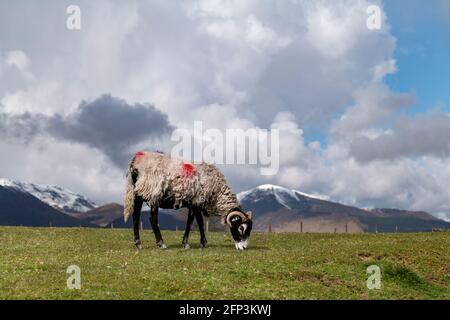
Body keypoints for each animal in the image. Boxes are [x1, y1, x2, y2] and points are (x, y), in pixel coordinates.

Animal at [123, 151, 253, 251]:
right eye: (241, 228)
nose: (244, 248)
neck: (217, 192)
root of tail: (136, 160)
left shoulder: (194, 204)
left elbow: (195, 222)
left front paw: (197, 243)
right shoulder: (195, 202)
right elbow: (194, 222)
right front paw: (192, 243)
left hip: (138, 193)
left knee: (135, 217)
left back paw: (138, 244)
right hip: (153, 192)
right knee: (152, 219)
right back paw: (161, 243)